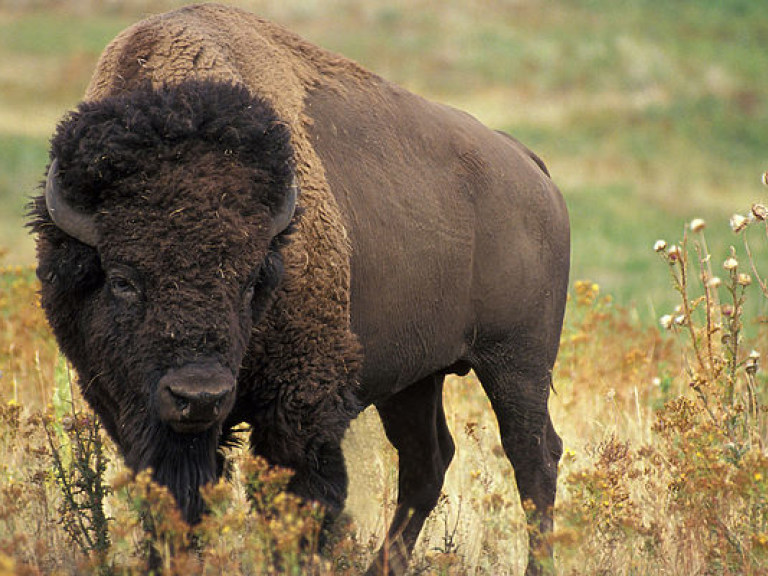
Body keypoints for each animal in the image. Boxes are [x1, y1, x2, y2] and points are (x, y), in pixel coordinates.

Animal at [28, 5, 568, 576]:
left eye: (250, 282)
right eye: (123, 280)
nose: (199, 396)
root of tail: (528, 165)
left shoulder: (300, 403)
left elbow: (301, 501)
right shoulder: (130, 410)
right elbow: (174, 502)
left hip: (518, 363)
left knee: (533, 458)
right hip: (416, 377)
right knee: (427, 461)